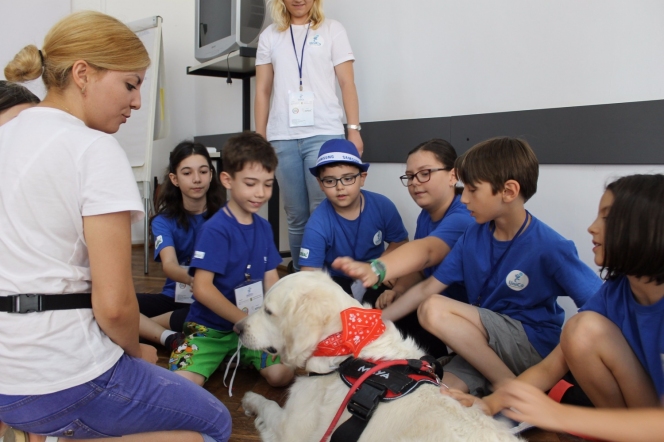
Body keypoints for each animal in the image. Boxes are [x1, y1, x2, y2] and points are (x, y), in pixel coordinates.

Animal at [236, 272, 520, 442]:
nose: (237, 328)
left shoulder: (292, 431)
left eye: (269, 311)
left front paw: (249, 399)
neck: (343, 347)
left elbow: (268, 405)